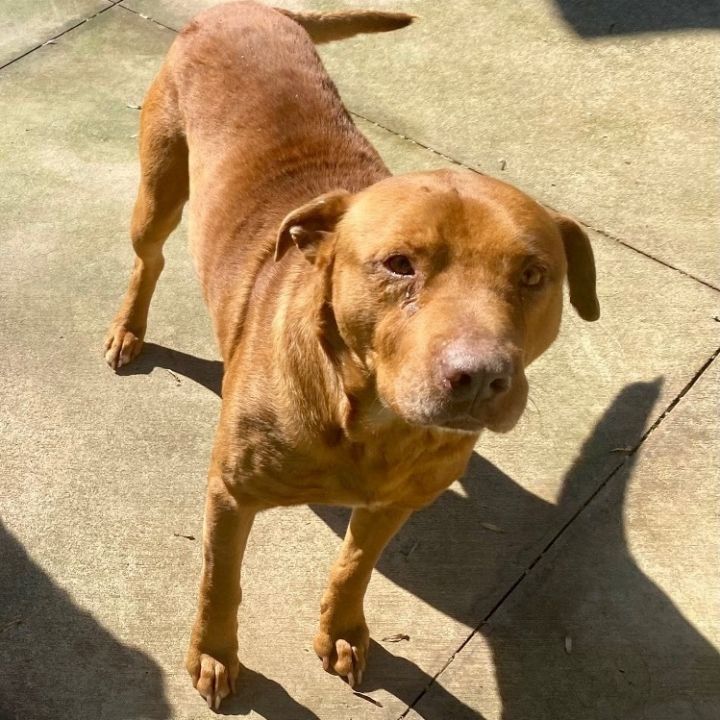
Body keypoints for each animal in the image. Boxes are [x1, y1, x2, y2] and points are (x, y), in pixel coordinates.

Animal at [104, 0, 600, 708]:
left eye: (534, 276)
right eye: (398, 264)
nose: (479, 378)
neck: (367, 418)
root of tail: (249, 8)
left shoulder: (394, 504)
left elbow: (355, 565)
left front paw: (340, 630)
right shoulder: (230, 496)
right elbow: (219, 583)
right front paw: (215, 655)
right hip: (158, 191)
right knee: (149, 259)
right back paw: (128, 328)